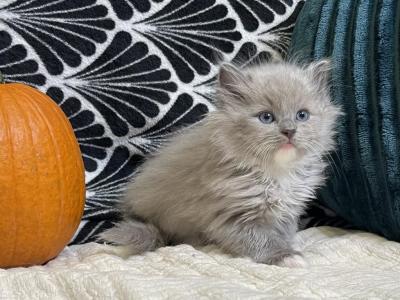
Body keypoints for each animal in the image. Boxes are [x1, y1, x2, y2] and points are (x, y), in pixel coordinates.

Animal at [101, 58, 340, 268]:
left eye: (302, 115)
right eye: (266, 117)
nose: (289, 131)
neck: (276, 172)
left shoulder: (286, 210)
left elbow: (284, 231)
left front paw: (290, 244)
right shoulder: (232, 217)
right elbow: (261, 240)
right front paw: (284, 256)